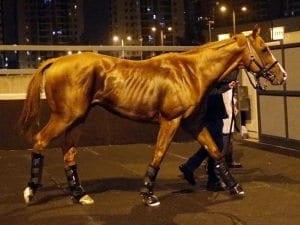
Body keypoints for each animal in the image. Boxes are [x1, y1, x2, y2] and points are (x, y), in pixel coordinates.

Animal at [18, 25, 286, 207]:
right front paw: (148, 194)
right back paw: (31, 190)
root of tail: (55, 61)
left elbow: (215, 151)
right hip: (65, 117)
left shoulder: (194, 123)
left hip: (78, 119)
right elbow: (159, 153)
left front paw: (234, 187)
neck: (192, 72)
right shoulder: (171, 121)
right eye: (264, 48)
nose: (282, 76)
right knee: (40, 140)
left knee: (69, 152)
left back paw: (80, 194)